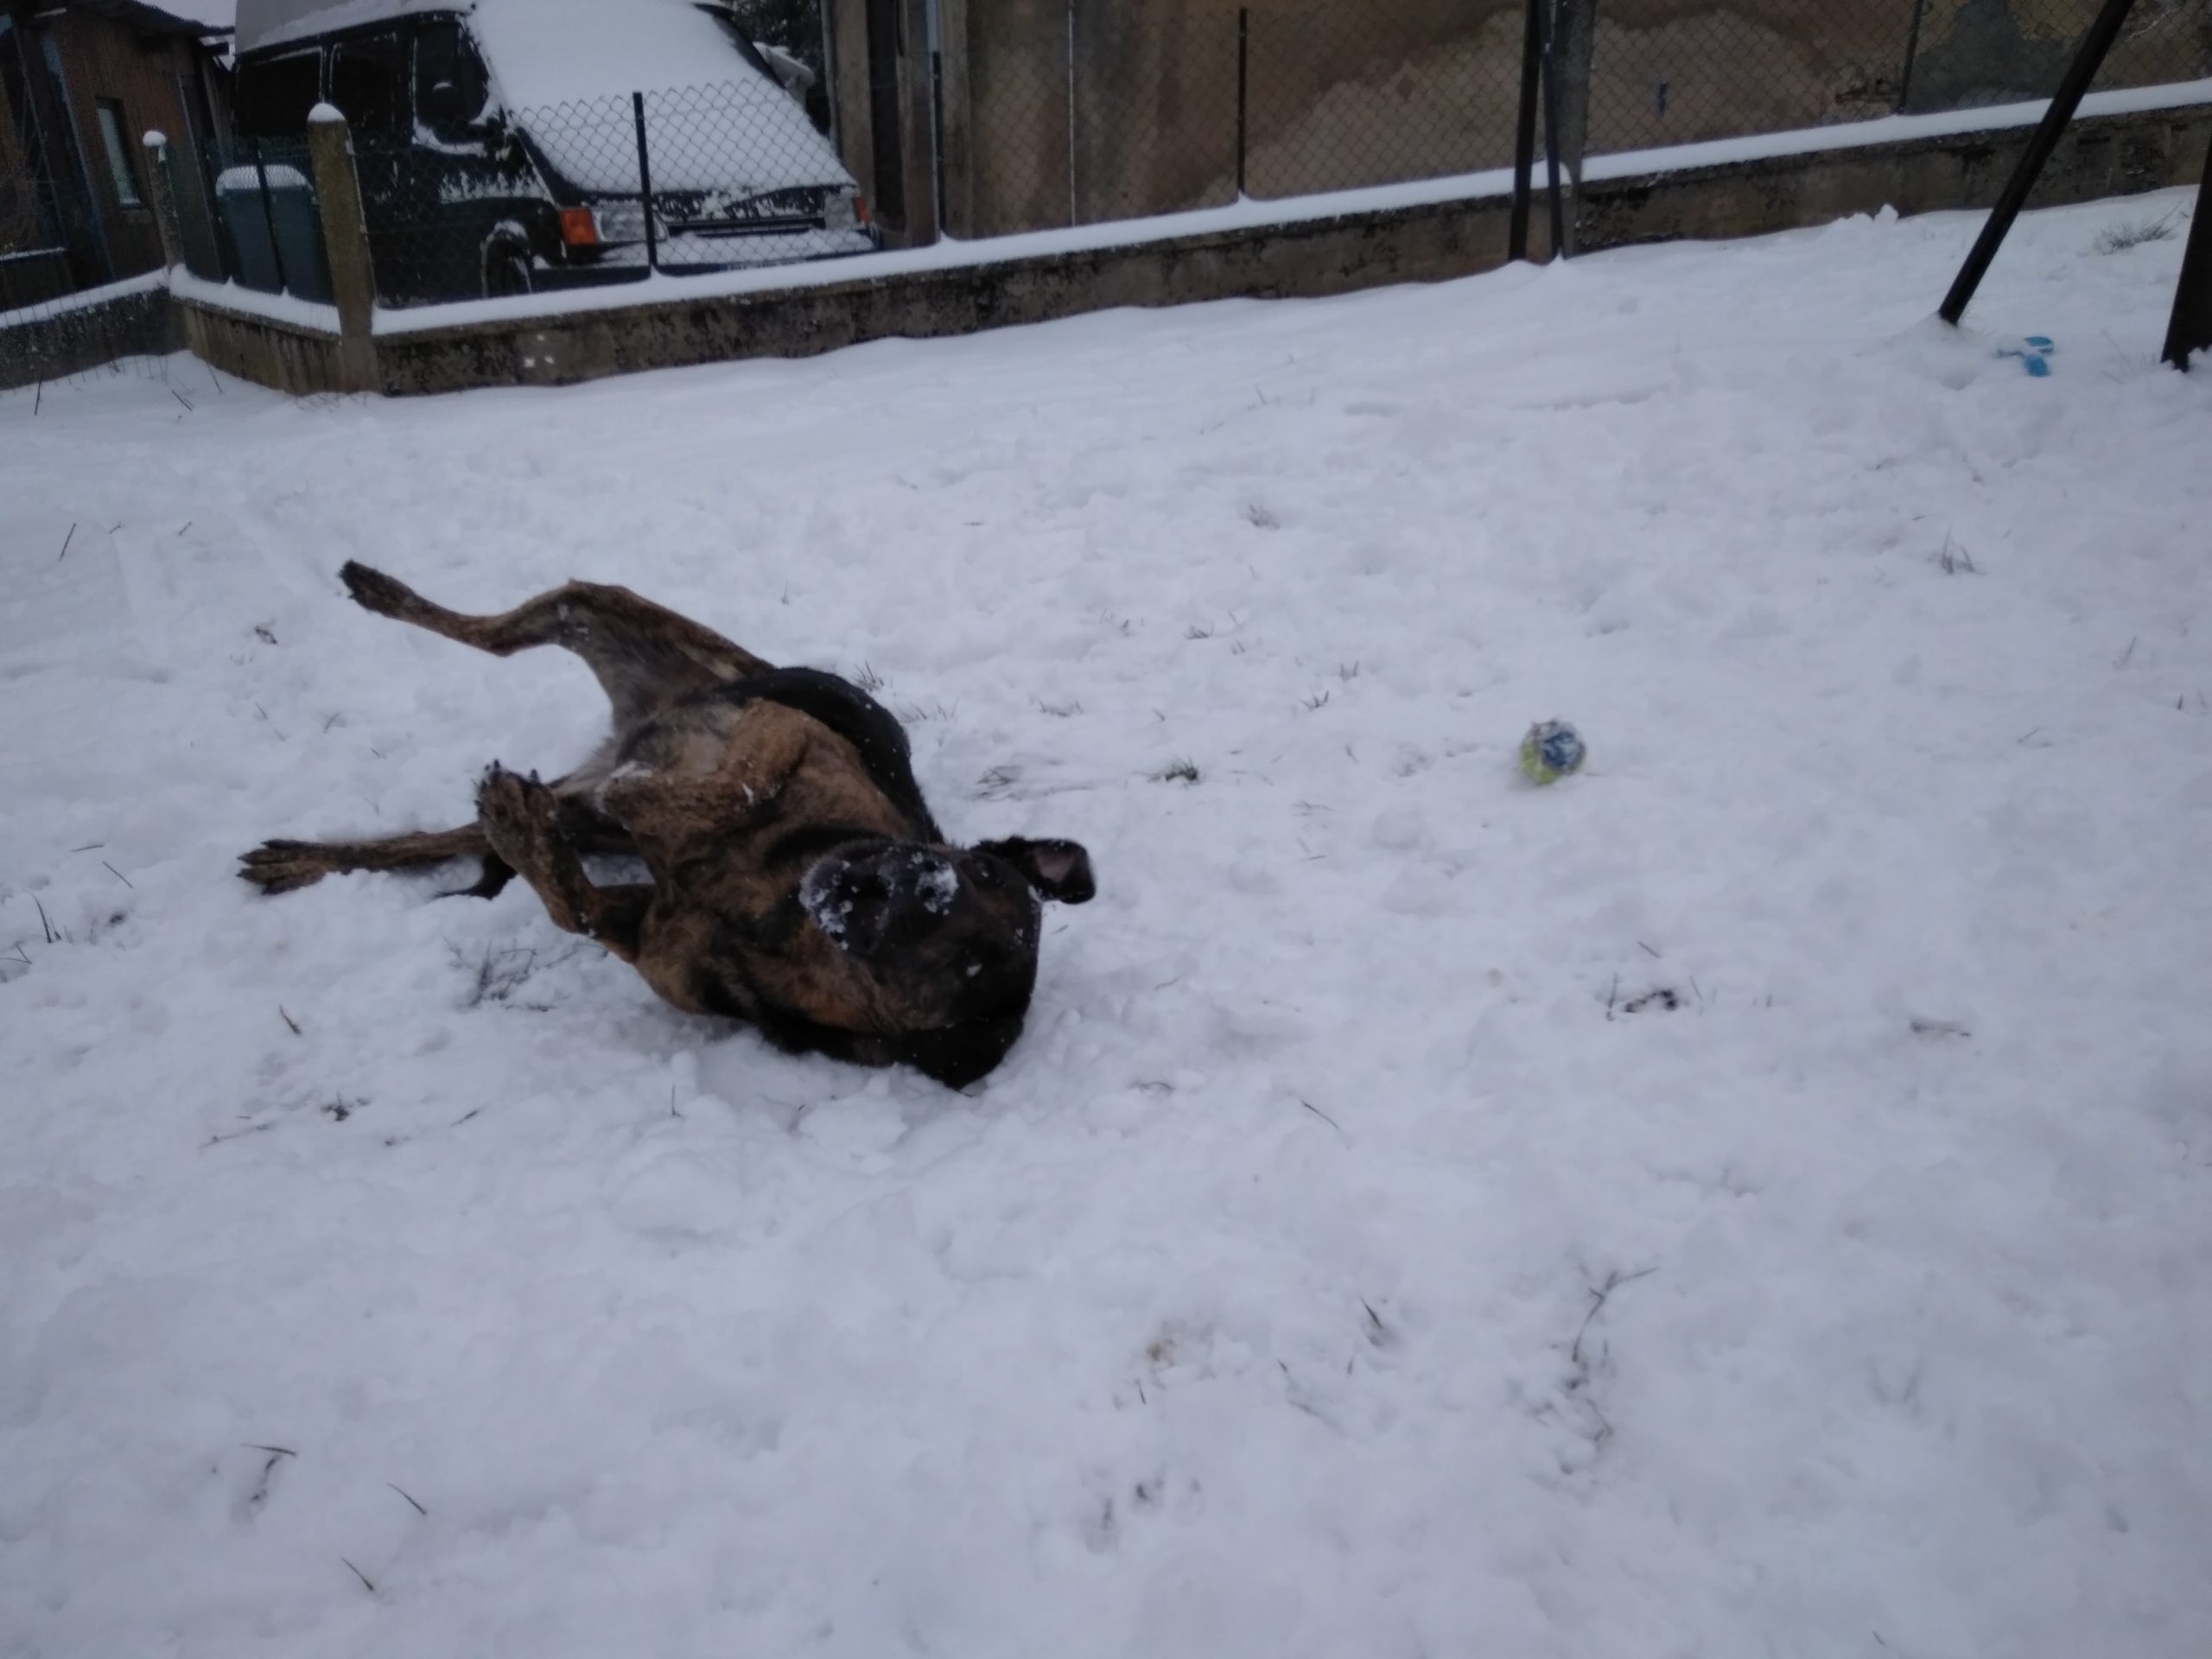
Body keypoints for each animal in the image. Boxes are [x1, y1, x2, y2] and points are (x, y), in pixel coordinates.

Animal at [240, 564, 1095, 1087]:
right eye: (980, 871)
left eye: (970, 966)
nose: (909, 875)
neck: (775, 917)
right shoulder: (791, 731)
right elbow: (737, 781)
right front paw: (665, 796)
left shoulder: (641, 932)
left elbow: (576, 904)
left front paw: (558, 818)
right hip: (625, 623)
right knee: (512, 629)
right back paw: (376, 589)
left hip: (593, 762)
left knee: (473, 821)